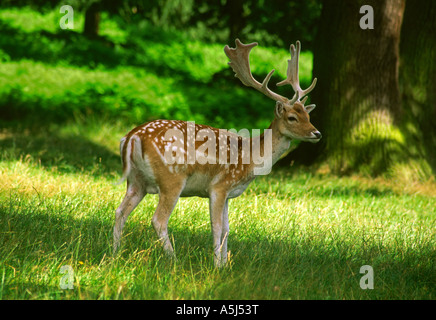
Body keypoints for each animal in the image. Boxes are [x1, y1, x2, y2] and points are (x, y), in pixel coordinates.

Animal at [114, 38, 322, 266]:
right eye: (292, 117)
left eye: (308, 116)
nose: (317, 133)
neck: (249, 160)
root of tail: (131, 137)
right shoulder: (219, 186)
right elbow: (217, 227)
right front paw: (215, 265)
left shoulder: (229, 193)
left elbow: (228, 229)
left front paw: (225, 265)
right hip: (171, 178)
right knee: (158, 219)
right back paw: (173, 260)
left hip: (136, 181)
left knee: (120, 212)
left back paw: (115, 253)